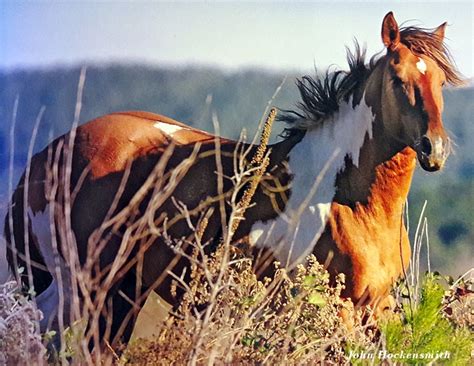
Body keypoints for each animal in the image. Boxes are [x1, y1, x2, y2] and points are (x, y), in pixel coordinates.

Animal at [3, 10, 462, 348]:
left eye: (441, 82)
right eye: (399, 79)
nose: (434, 149)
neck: (347, 200)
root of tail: (47, 155)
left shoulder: (376, 310)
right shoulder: (335, 310)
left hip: (122, 293)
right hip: (74, 287)